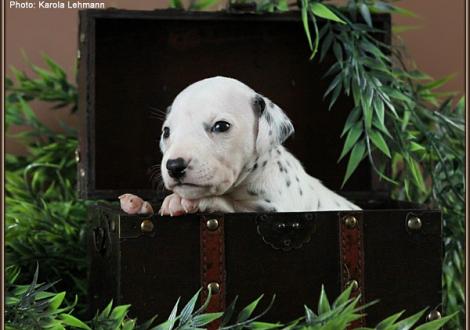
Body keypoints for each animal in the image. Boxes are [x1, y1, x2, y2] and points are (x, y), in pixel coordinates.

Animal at [120, 75, 360, 215]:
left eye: (221, 126)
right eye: (166, 132)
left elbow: (233, 205)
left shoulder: (276, 208)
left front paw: (189, 201)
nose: (174, 166)